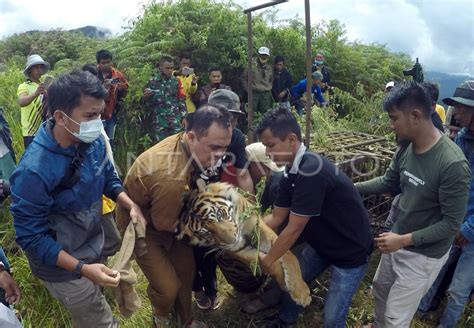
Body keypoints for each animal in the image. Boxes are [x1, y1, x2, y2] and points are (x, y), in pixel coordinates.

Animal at [177, 181, 312, 306]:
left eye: (219, 215)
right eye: (207, 233)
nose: (233, 240)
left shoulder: (257, 226)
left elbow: (286, 254)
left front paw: (301, 292)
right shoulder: (236, 250)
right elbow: (268, 262)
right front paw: (285, 284)